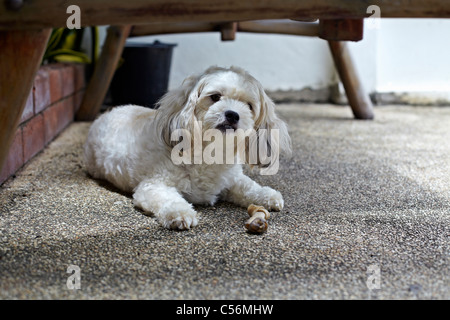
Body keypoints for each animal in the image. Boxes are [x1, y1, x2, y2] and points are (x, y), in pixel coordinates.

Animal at [84, 65, 292, 230]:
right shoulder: (153, 186)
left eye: (249, 106)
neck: (210, 150)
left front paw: (266, 194)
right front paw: (180, 213)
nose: (232, 114)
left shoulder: (231, 179)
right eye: (215, 97)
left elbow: (248, 186)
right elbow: (169, 199)